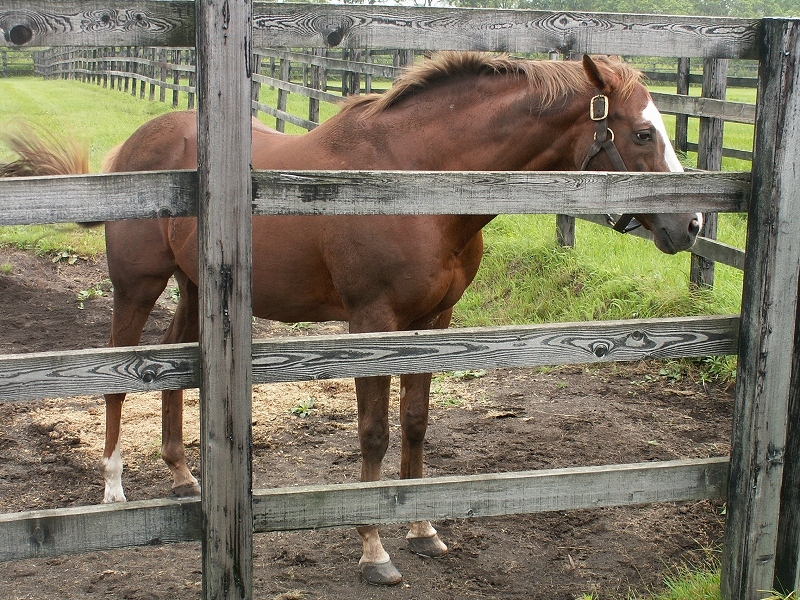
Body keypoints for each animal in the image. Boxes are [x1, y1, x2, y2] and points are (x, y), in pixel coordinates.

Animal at [1, 52, 700, 584]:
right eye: (642, 134)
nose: (690, 223)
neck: (415, 178)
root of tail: (134, 146)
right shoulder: (370, 324)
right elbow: (373, 434)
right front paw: (373, 549)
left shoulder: (435, 322)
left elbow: (416, 425)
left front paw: (422, 526)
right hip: (136, 286)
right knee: (116, 372)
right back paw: (113, 488)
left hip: (195, 288)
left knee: (176, 361)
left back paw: (181, 473)